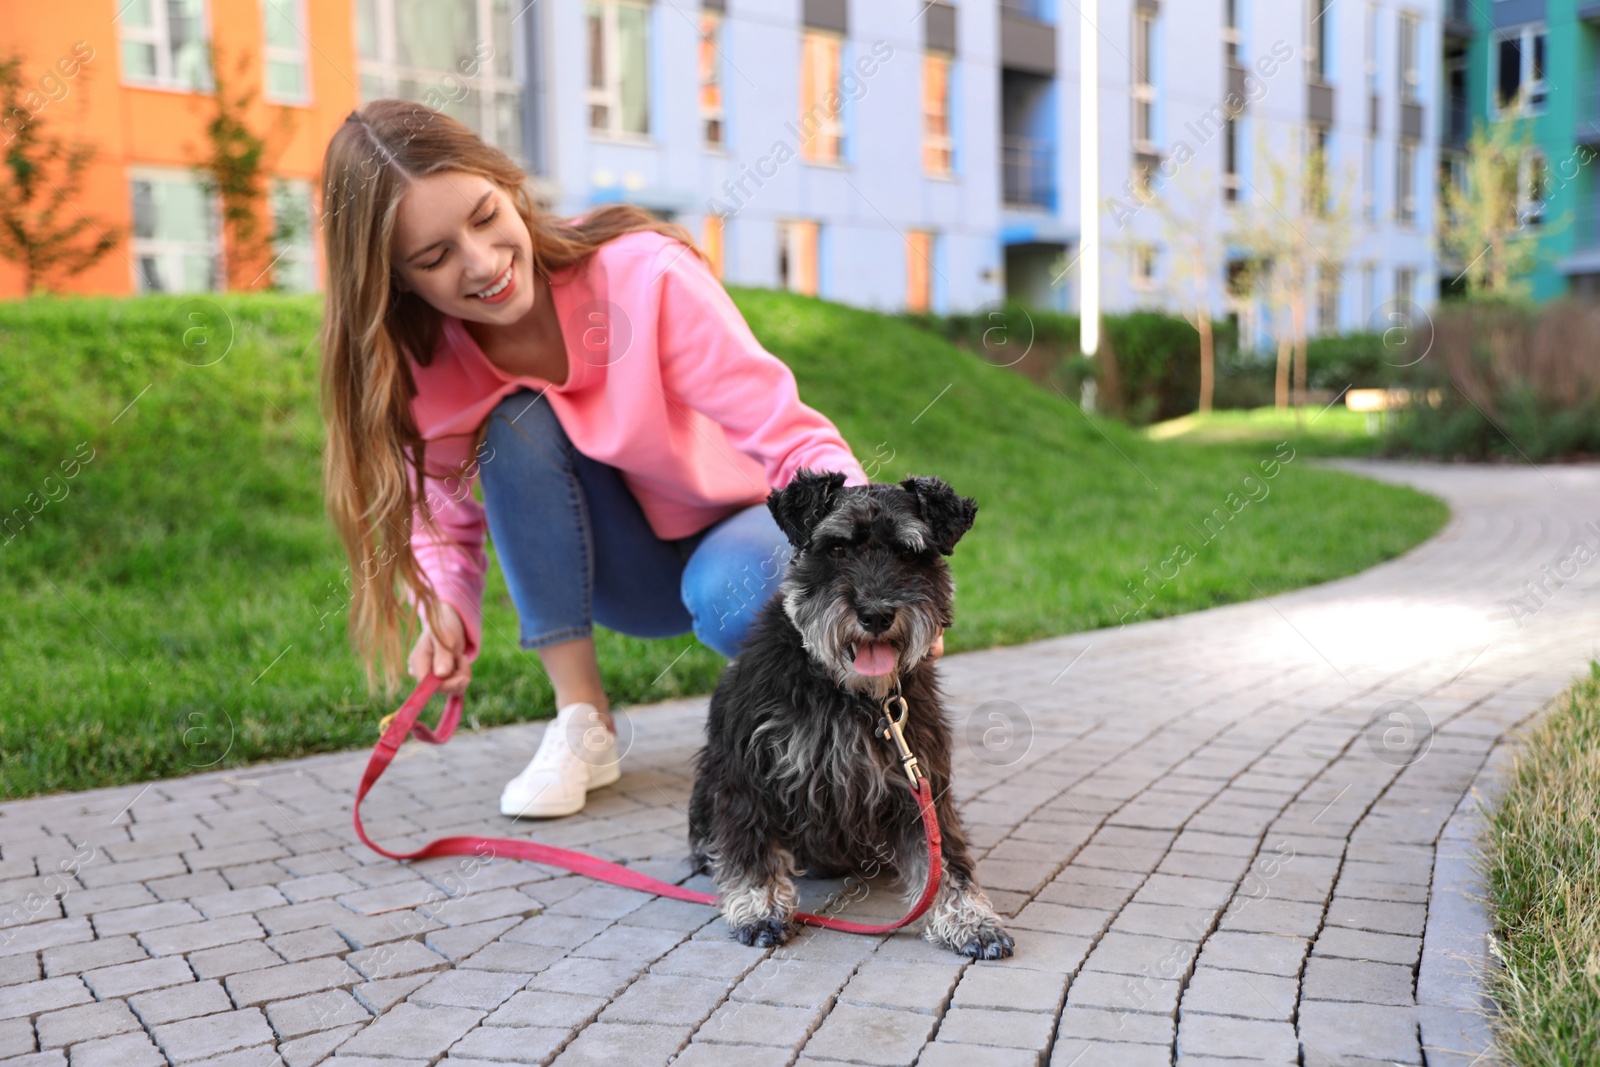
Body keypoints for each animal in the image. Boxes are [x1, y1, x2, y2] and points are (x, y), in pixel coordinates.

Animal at [688, 467, 1011, 959]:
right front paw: (760, 906)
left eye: (908, 552)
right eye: (837, 548)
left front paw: (969, 920)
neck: (850, 692)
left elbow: (945, 857)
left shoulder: (922, 778)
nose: (876, 614)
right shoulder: (750, 776)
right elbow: (752, 845)